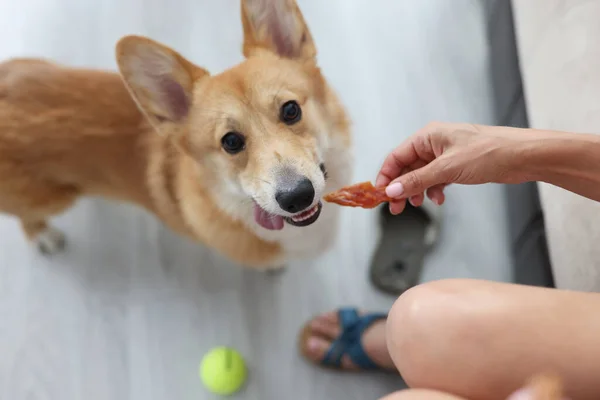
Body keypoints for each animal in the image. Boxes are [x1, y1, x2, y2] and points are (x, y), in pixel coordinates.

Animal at [0, 0, 352, 270]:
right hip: (54, 200)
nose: (297, 197)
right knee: (26, 217)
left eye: (291, 110)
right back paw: (44, 237)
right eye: (231, 142)